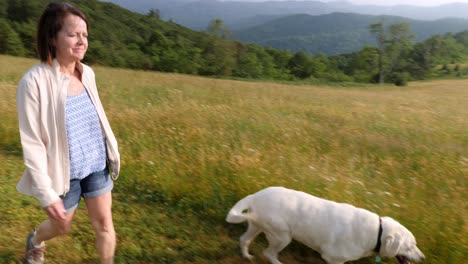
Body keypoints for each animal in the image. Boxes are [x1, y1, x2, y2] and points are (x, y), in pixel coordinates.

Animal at [226, 187, 424, 262]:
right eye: (410, 246)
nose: (423, 258)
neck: (377, 233)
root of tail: (256, 195)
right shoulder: (332, 258)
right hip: (282, 236)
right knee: (269, 253)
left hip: (257, 226)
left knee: (244, 240)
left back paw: (246, 256)